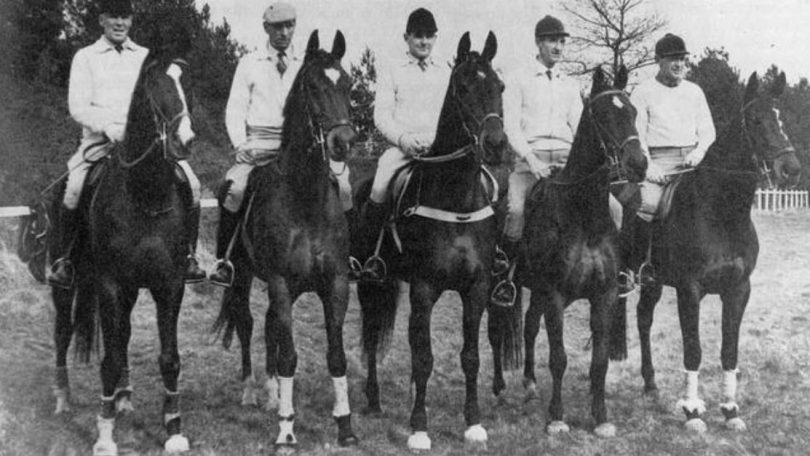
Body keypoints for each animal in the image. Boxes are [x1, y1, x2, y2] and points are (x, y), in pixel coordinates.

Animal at [211, 31, 356, 448]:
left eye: (347, 84)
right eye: (313, 86)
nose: (343, 141)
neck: (304, 198)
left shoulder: (335, 284)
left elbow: (335, 355)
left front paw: (345, 426)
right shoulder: (279, 282)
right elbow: (289, 355)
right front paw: (287, 429)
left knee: (270, 326)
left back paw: (273, 392)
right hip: (243, 278)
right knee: (246, 323)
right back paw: (251, 392)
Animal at [356, 31, 512, 448]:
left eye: (500, 86)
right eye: (463, 86)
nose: (496, 145)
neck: (456, 200)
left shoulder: (476, 289)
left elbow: (470, 356)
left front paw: (473, 423)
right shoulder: (424, 288)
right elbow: (423, 357)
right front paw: (419, 427)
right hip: (368, 283)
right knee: (372, 334)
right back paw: (373, 400)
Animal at [490, 66, 648, 436]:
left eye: (633, 112)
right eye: (603, 115)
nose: (639, 164)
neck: (582, 216)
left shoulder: (604, 295)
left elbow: (599, 361)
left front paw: (601, 417)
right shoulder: (556, 295)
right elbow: (559, 358)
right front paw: (557, 417)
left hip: (536, 291)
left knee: (529, 327)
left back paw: (530, 384)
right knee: (495, 333)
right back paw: (499, 387)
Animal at [608, 70, 800, 432]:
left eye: (781, 118)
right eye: (756, 120)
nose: (791, 169)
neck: (721, 213)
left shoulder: (738, 289)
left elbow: (729, 350)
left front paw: (730, 409)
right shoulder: (690, 290)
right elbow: (693, 350)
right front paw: (693, 411)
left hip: (653, 282)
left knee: (643, 318)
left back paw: (650, 383)